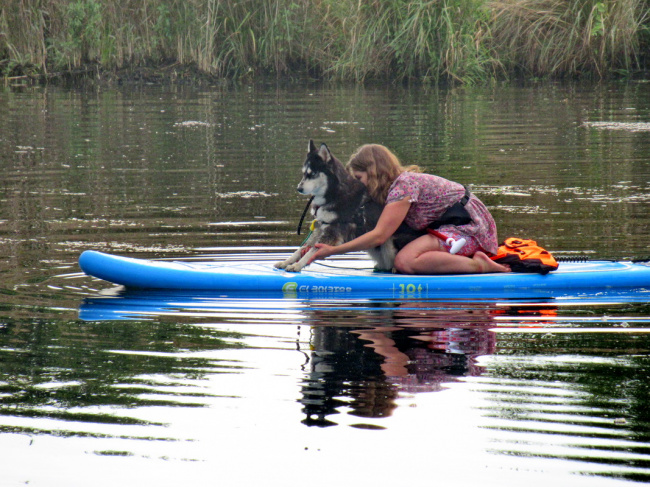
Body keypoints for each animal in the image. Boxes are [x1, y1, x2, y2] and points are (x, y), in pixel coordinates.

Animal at [274, 141, 420, 272]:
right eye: (304, 173)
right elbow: (301, 249)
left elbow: (312, 250)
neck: (333, 194)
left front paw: (297, 265)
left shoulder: (332, 231)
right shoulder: (321, 227)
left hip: (389, 242)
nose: (299, 188)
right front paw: (286, 261)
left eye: (313, 173)